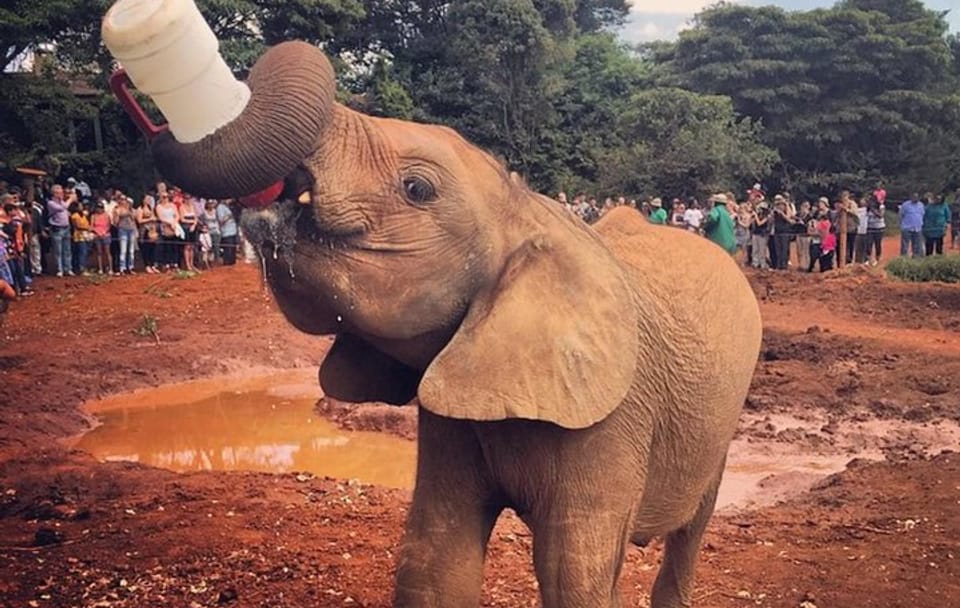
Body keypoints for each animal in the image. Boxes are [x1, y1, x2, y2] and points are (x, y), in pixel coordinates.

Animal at [145, 41, 763, 608]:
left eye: (417, 188)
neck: (531, 213)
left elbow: (574, 575)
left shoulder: (613, 416)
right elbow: (436, 557)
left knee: (691, 529)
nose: (157, 112)